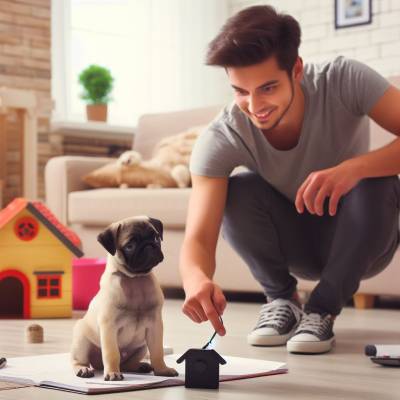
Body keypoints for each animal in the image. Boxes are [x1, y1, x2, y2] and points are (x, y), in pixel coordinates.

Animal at [70, 217, 178, 380]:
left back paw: (140, 366)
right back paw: (83, 369)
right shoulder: (109, 327)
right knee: (79, 360)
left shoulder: (155, 327)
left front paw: (162, 370)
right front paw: (112, 373)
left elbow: (157, 352)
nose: (149, 245)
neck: (135, 279)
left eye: (156, 238)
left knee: (127, 364)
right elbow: (112, 354)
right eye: (130, 246)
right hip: (82, 341)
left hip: (141, 347)